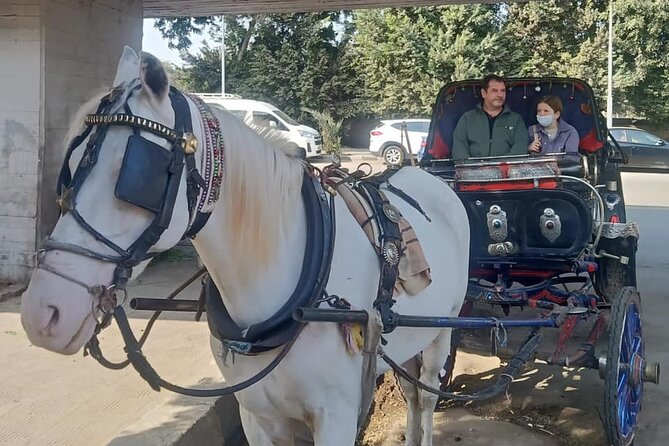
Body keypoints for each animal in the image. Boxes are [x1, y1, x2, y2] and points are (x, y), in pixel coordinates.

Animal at [20, 46, 470, 446]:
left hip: (441, 332)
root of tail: (420, 173)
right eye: (69, 168)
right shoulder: (258, 417)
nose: (43, 313)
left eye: (134, 174)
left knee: (425, 398)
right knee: (410, 394)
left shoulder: (337, 418)